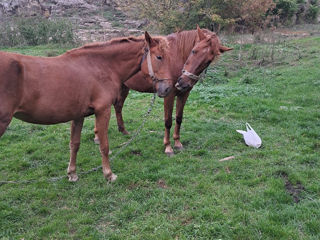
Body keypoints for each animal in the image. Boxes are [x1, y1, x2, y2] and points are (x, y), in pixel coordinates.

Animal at [0, 31, 174, 182]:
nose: (167, 89)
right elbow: (104, 145)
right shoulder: (103, 110)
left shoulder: (78, 115)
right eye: (159, 57)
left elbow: (74, 144)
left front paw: (72, 173)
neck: (100, 66)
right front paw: (108, 174)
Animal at [94, 27, 231, 157]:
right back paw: (97, 136)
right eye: (194, 51)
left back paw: (123, 131)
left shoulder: (184, 94)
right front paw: (168, 147)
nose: (183, 82)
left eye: (208, 60)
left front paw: (177, 143)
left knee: (118, 106)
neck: (176, 56)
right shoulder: (169, 94)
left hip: (124, 87)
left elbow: (179, 118)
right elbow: (168, 121)